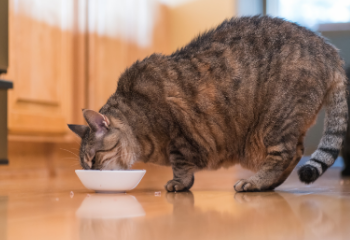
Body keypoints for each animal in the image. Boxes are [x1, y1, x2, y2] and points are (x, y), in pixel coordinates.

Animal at [67, 15, 348, 192]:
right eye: (85, 165)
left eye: (94, 159)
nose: (92, 174)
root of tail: (328, 50)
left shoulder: (178, 136)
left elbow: (180, 165)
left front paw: (179, 184)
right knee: (295, 154)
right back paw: (266, 184)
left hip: (274, 122)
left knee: (287, 155)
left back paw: (255, 182)